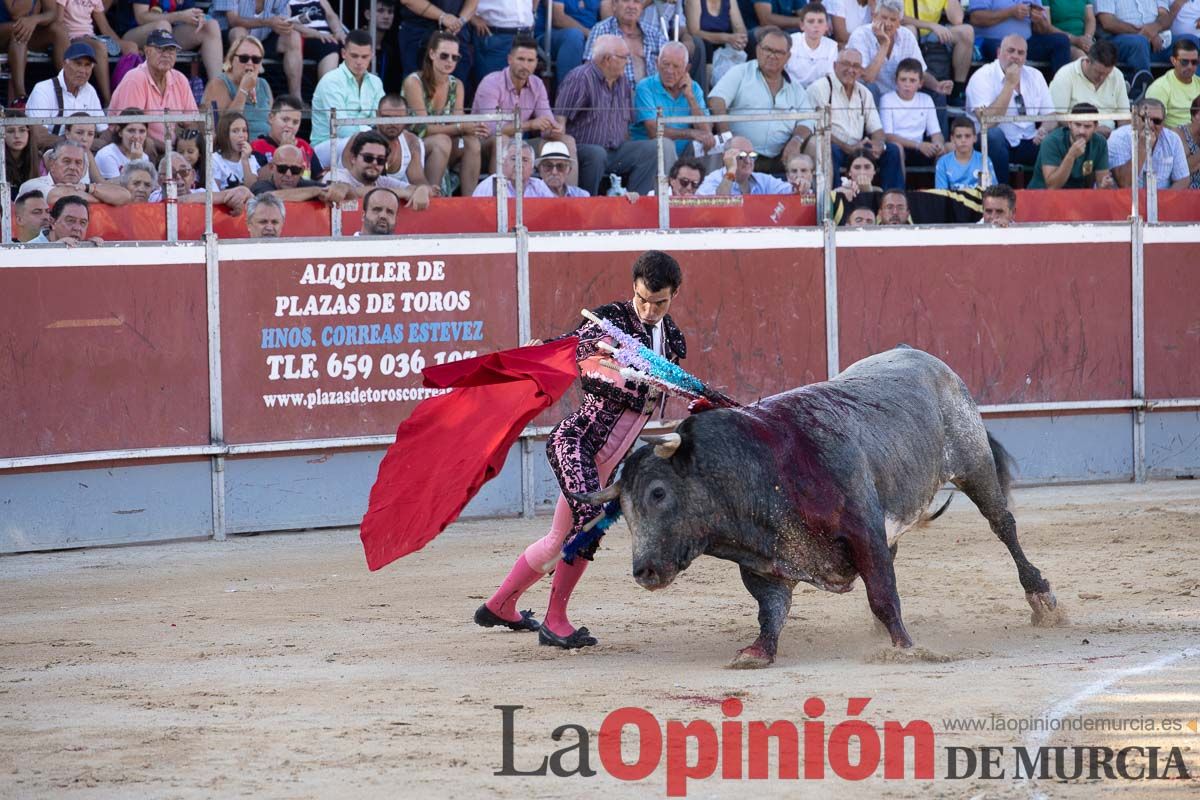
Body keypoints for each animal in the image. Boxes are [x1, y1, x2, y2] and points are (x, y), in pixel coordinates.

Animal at [580, 347, 1060, 666]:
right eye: (622, 509)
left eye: (658, 493)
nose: (643, 571)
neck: (761, 467)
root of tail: (929, 360)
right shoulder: (766, 561)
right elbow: (771, 610)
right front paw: (757, 652)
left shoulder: (864, 529)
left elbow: (883, 594)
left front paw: (906, 647)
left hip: (973, 463)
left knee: (1003, 525)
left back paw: (1042, 598)